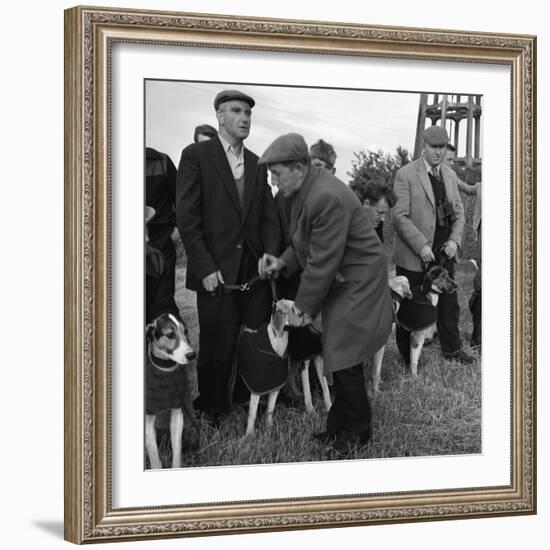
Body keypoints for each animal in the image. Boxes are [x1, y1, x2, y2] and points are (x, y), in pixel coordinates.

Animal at [147, 314, 198, 470]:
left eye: (186, 331)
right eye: (170, 335)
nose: (192, 355)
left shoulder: (177, 414)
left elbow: (176, 454)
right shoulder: (148, 420)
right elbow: (155, 459)